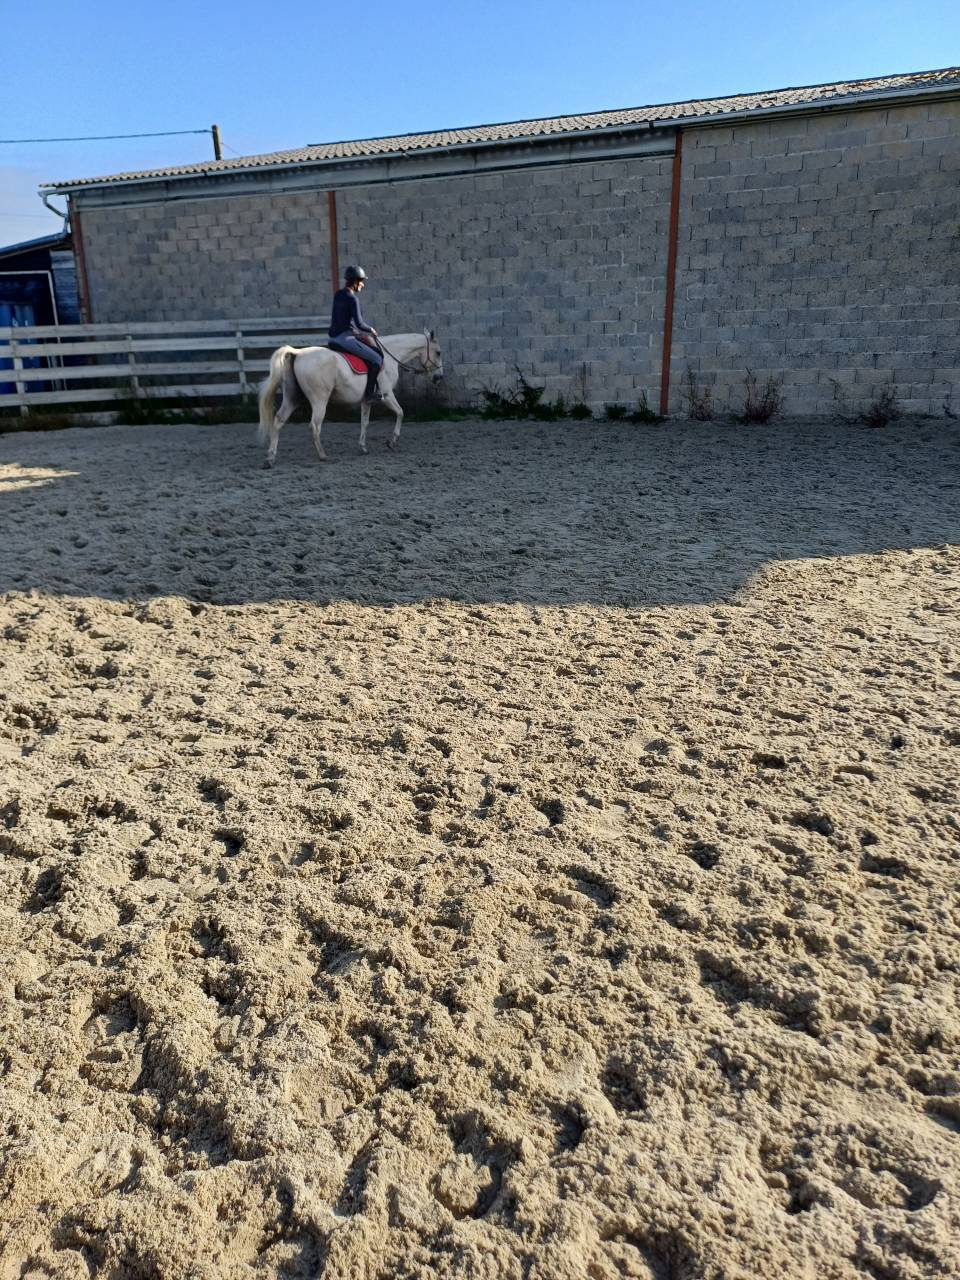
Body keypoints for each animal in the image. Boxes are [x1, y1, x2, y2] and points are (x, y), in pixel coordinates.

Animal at [257, 330, 443, 467]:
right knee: (314, 426)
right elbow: (400, 413)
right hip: (319, 400)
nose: (438, 377)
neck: (389, 354)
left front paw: (363, 448)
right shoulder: (387, 395)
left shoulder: (367, 400)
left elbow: (364, 423)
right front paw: (392, 441)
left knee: (278, 421)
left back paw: (270, 459)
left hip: (292, 399)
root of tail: (298, 353)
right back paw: (323, 455)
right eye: (439, 352)